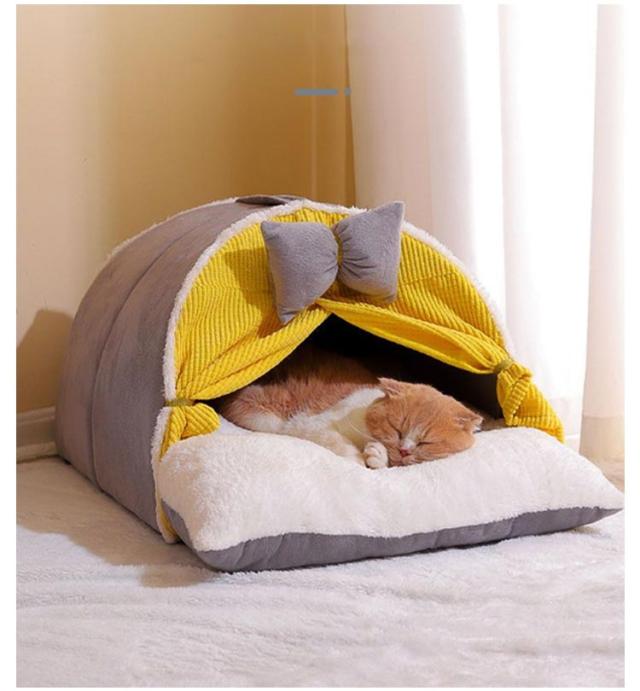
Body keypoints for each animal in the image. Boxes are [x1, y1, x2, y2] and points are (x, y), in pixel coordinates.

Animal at [217, 348, 483, 469]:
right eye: (396, 428)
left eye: (426, 442)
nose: (404, 450)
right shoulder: (312, 423)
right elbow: (340, 444)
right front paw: (361, 458)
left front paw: (377, 455)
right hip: (263, 411)